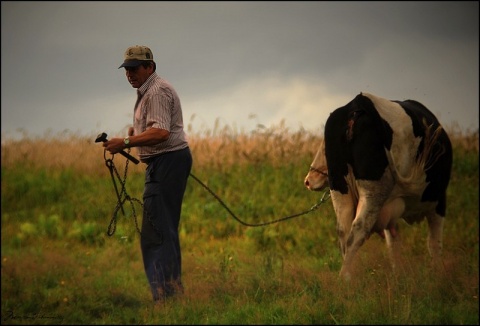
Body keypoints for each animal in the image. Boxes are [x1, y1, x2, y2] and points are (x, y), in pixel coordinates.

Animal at [306, 91, 452, 280]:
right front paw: (438, 274)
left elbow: (393, 244)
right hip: (374, 190)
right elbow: (434, 243)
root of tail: (358, 103)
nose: (308, 180)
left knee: (344, 231)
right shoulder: (438, 200)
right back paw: (345, 278)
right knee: (358, 229)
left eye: (323, 149)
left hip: (340, 190)